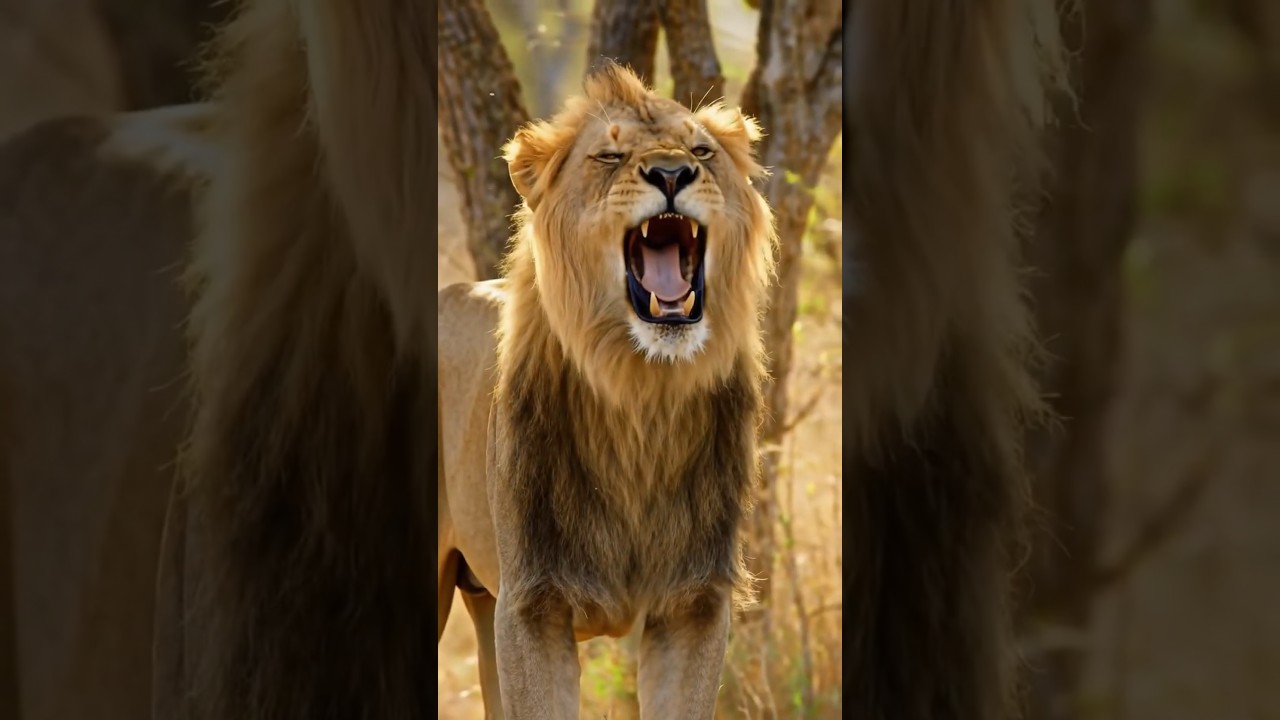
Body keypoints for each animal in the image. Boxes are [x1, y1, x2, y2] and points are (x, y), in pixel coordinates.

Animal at [436, 62, 774, 718]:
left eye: (701, 151)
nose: (671, 174)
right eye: (609, 156)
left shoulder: (694, 601)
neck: (639, 394)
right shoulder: (530, 605)